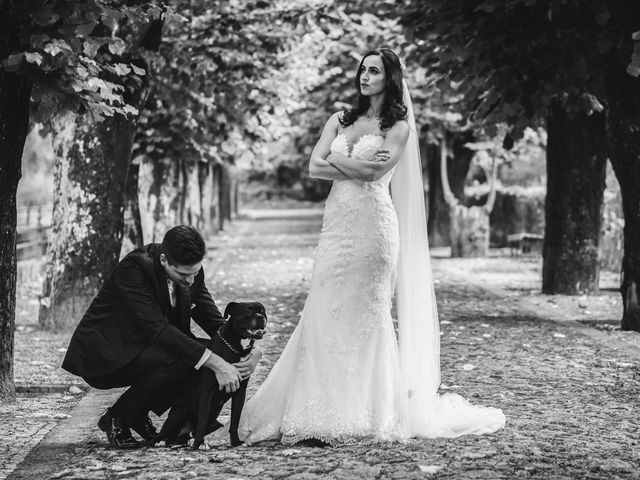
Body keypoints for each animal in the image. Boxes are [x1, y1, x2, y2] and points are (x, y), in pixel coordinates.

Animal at [151, 302, 266, 448]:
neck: (237, 348)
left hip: (214, 423)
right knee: (164, 432)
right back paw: (161, 441)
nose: (260, 317)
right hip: (180, 411)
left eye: (262, 310)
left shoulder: (240, 392)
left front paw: (235, 442)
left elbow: (235, 419)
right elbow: (203, 418)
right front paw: (198, 445)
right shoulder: (207, 390)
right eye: (247, 311)